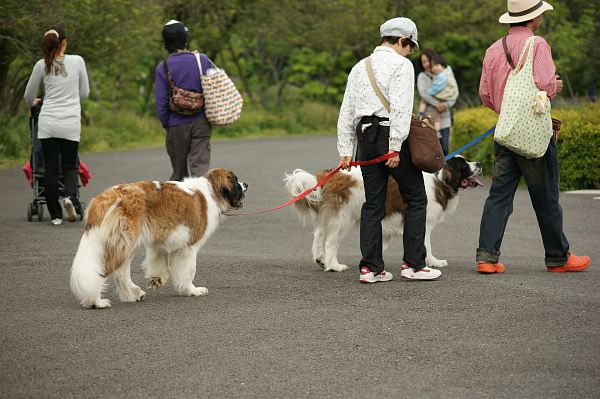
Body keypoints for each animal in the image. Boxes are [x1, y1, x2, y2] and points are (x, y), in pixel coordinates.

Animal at [69, 169, 247, 310]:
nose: (246, 184)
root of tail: (110, 194)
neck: (211, 192)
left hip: (127, 245)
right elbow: (189, 270)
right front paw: (191, 290)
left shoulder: (162, 240)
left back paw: (134, 294)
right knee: (105, 270)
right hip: (125, 243)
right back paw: (96, 302)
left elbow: (160, 264)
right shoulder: (188, 248)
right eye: (236, 180)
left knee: (120, 274)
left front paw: (157, 280)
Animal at [284, 156, 482, 272]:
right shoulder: (423, 220)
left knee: (319, 234)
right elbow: (426, 244)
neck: (440, 181)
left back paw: (321, 260)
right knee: (330, 242)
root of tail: (328, 176)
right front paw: (432, 262)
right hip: (343, 218)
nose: (479, 164)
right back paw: (334, 266)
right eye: (464, 165)